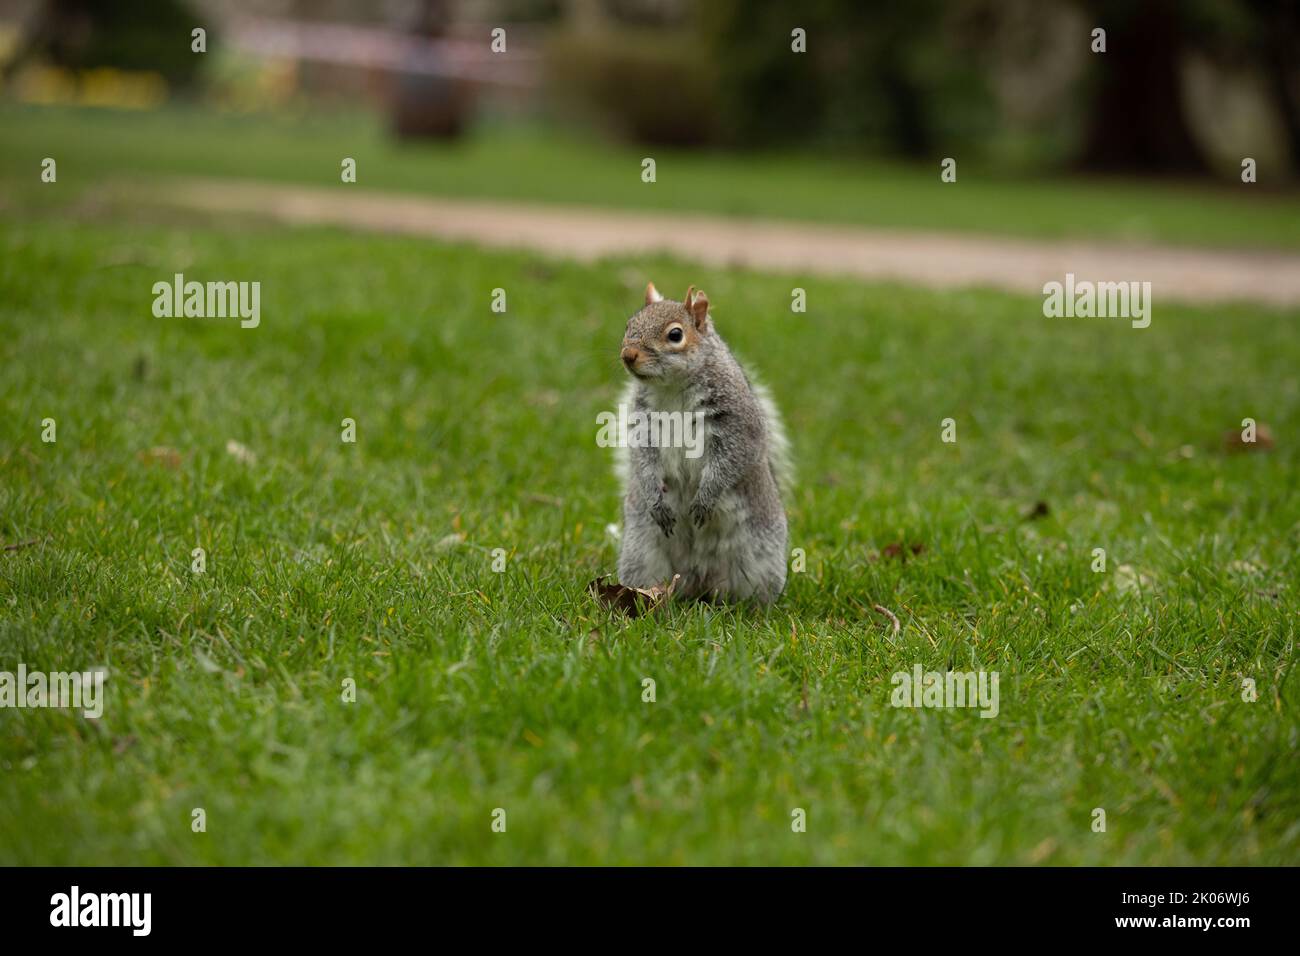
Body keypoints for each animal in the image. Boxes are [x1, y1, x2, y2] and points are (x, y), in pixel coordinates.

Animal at [611, 280, 785, 600]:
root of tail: (698, 579)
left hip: (760, 558)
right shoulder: (644, 426)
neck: (672, 386)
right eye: (630, 325)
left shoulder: (736, 423)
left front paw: (705, 499)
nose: (628, 355)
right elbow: (643, 461)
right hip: (641, 553)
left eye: (675, 335)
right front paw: (657, 501)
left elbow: (731, 458)